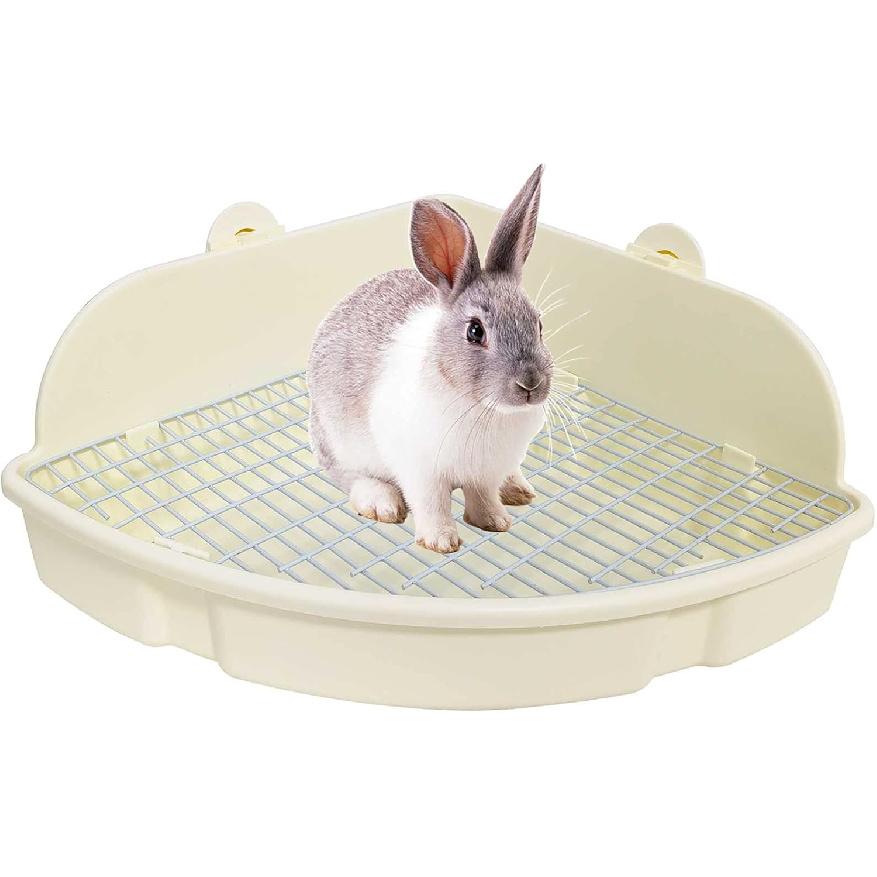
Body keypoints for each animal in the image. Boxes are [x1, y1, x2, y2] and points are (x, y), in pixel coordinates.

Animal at [307, 165, 553, 553]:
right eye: (475, 332)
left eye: (539, 324)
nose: (531, 384)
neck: (483, 408)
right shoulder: (421, 470)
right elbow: (432, 504)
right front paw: (441, 542)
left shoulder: (484, 472)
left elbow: (482, 496)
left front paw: (495, 522)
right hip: (338, 443)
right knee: (350, 477)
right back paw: (382, 503)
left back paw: (517, 489)